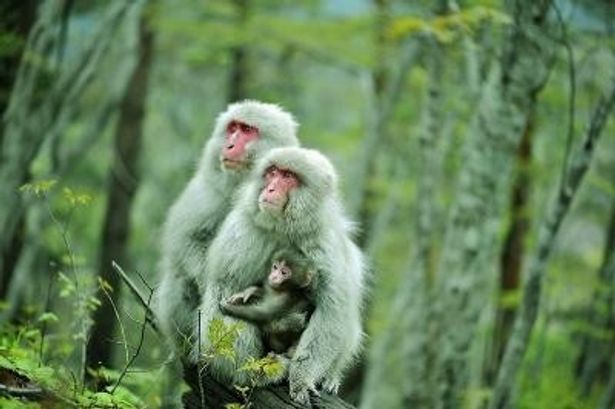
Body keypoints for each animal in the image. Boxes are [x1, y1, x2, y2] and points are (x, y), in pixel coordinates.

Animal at [196, 146, 366, 402]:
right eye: (273, 172)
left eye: (288, 176)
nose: (270, 188)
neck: (283, 227)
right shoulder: (240, 234)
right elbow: (224, 292)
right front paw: (249, 374)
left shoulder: (324, 246)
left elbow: (332, 312)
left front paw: (301, 379)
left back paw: (327, 375)